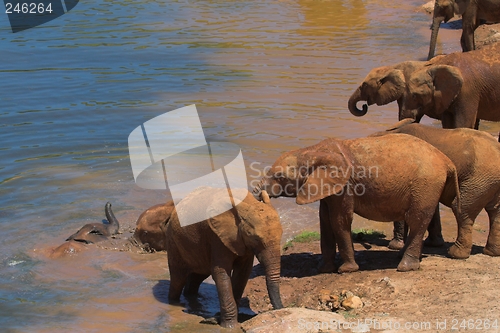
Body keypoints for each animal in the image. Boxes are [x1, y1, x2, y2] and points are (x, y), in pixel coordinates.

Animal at [252, 135, 458, 272]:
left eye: (280, 177)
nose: (257, 191)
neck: (311, 151)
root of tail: (447, 160)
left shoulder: (345, 187)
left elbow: (339, 220)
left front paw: (346, 270)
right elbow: (325, 221)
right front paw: (324, 268)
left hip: (426, 186)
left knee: (417, 220)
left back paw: (405, 267)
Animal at [372, 118, 500, 258]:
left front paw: (395, 247)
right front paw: (432, 244)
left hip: (478, 179)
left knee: (461, 208)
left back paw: (455, 254)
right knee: (495, 211)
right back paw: (492, 252)